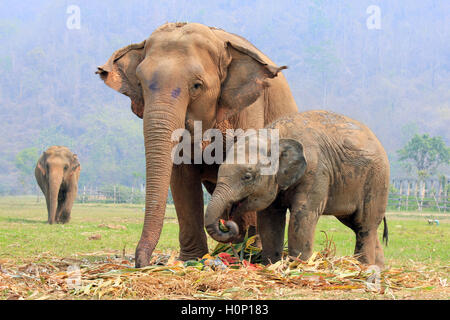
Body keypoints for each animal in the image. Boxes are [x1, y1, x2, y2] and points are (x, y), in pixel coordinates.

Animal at [96, 23, 298, 268]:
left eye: (196, 86)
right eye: (140, 84)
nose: (142, 263)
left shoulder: (250, 109)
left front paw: (251, 255)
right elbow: (181, 178)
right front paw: (192, 260)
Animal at [206, 110, 388, 268]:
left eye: (247, 177)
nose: (227, 223)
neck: (277, 136)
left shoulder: (316, 171)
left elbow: (302, 215)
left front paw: (297, 266)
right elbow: (269, 218)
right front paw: (271, 265)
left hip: (377, 181)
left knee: (365, 225)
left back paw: (363, 267)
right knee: (357, 224)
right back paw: (378, 268)